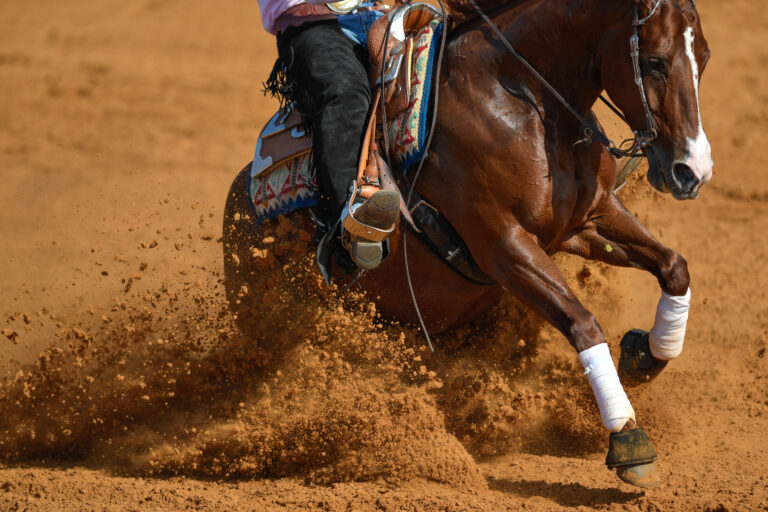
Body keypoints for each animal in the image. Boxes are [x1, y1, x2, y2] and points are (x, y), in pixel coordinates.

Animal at [223, 0, 712, 488]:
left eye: (704, 59)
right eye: (655, 61)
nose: (693, 171)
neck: (523, 101)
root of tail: (240, 202)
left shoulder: (590, 220)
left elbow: (675, 268)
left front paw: (644, 355)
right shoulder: (502, 245)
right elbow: (583, 323)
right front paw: (628, 437)